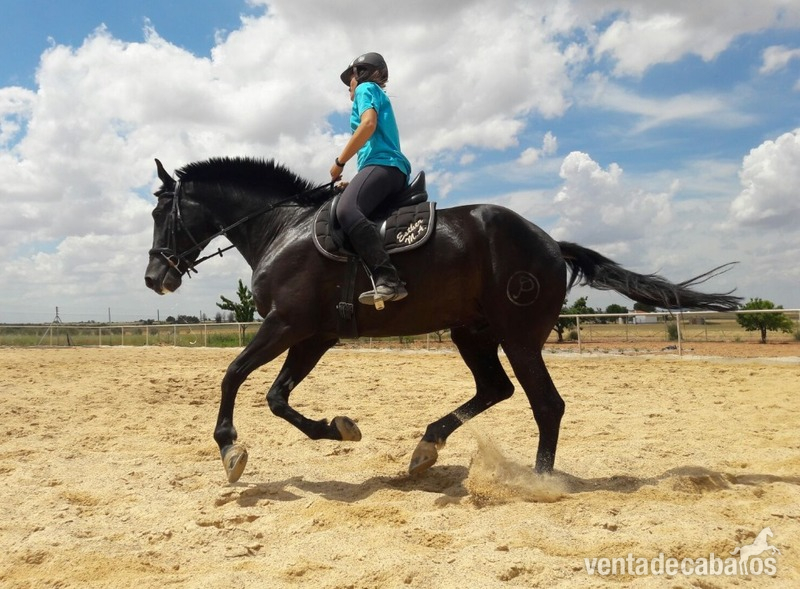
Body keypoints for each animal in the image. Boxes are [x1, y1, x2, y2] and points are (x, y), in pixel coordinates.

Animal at [144, 156, 740, 483]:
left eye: (158, 212)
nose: (154, 277)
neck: (283, 228)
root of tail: (551, 242)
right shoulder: (314, 335)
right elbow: (276, 397)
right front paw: (339, 428)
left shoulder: (286, 325)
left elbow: (233, 375)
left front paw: (229, 449)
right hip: (471, 332)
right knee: (496, 389)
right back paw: (427, 447)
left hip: (519, 337)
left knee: (545, 403)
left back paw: (538, 482)